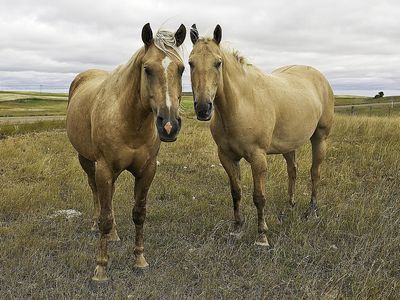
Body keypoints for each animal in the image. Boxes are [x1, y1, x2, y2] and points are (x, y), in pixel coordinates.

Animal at [66, 23, 187, 282]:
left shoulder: (147, 170)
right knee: (96, 194)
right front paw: (101, 269)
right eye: (147, 69)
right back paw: (97, 226)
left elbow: (139, 213)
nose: (169, 125)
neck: (130, 121)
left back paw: (113, 234)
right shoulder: (103, 168)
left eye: (182, 69)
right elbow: (105, 216)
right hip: (87, 161)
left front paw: (139, 260)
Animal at [189, 24, 332, 247]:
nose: (203, 109)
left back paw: (312, 211)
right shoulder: (227, 157)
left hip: (320, 138)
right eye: (190, 63)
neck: (242, 104)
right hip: (289, 145)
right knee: (293, 170)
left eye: (218, 63)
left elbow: (259, 197)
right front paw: (237, 227)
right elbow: (236, 192)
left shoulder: (258, 158)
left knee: (314, 172)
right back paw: (290, 205)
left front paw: (262, 236)